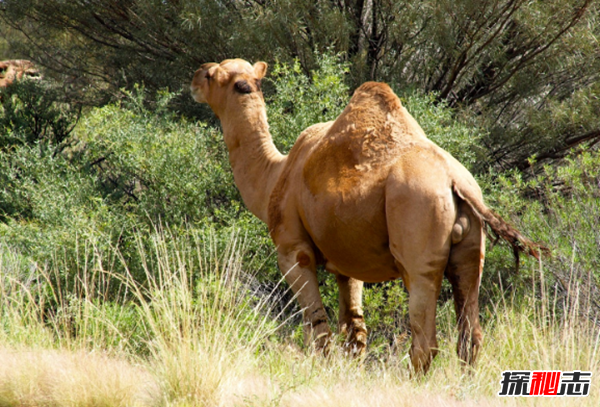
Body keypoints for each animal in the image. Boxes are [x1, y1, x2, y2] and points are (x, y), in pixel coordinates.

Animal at [190, 59, 548, 374]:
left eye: (213, 75)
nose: (195, 75)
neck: (274, 177)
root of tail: (455, 181)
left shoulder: (292, 250)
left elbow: (317, 326)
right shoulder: (346, 263)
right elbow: (354, 332)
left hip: (418, 236)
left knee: (425, 338)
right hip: (472, 251)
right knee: (470, 334)